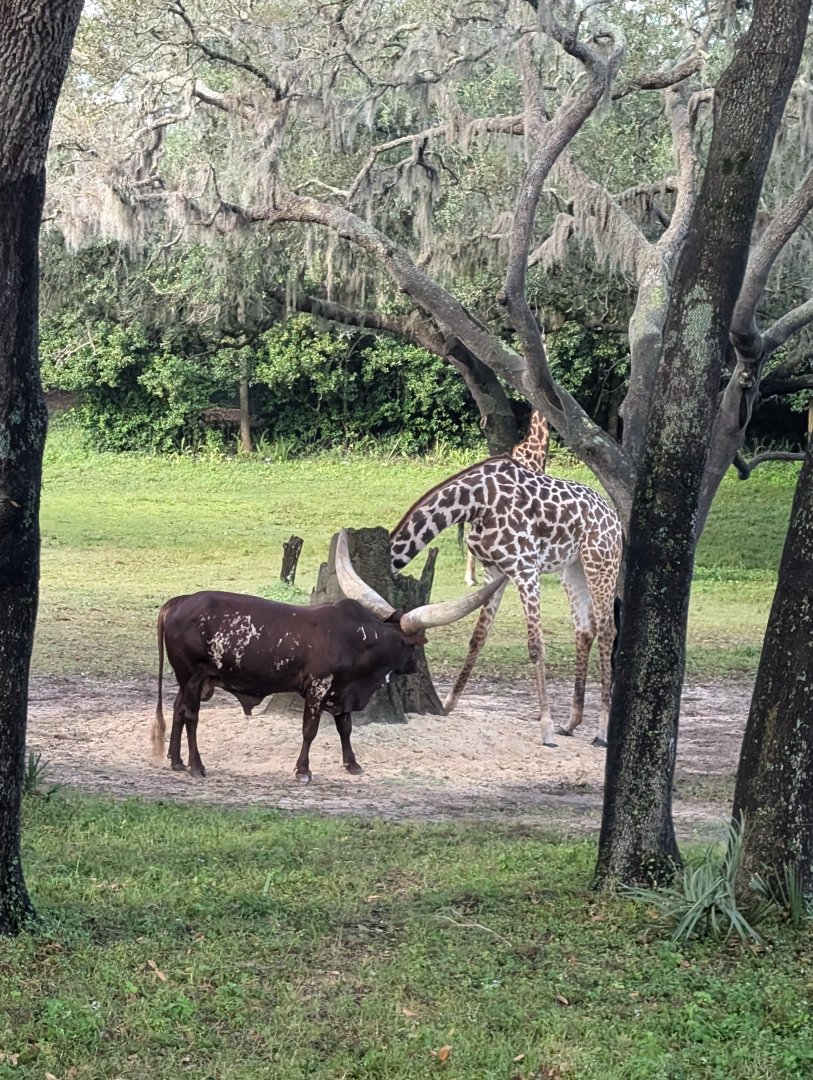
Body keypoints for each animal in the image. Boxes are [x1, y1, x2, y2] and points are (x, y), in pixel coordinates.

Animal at [391, 456, 622, 747]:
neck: (475, 502)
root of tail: (614, 516)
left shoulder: (525, 568)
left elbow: (536, 646)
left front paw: (546, 729)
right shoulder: (493, 569)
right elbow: (477, 637)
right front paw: (448, 705)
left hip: (601, 562)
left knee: (607, 630)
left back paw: (601, 731)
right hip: (572, 568)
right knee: (584, 629)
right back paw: (571, 723)